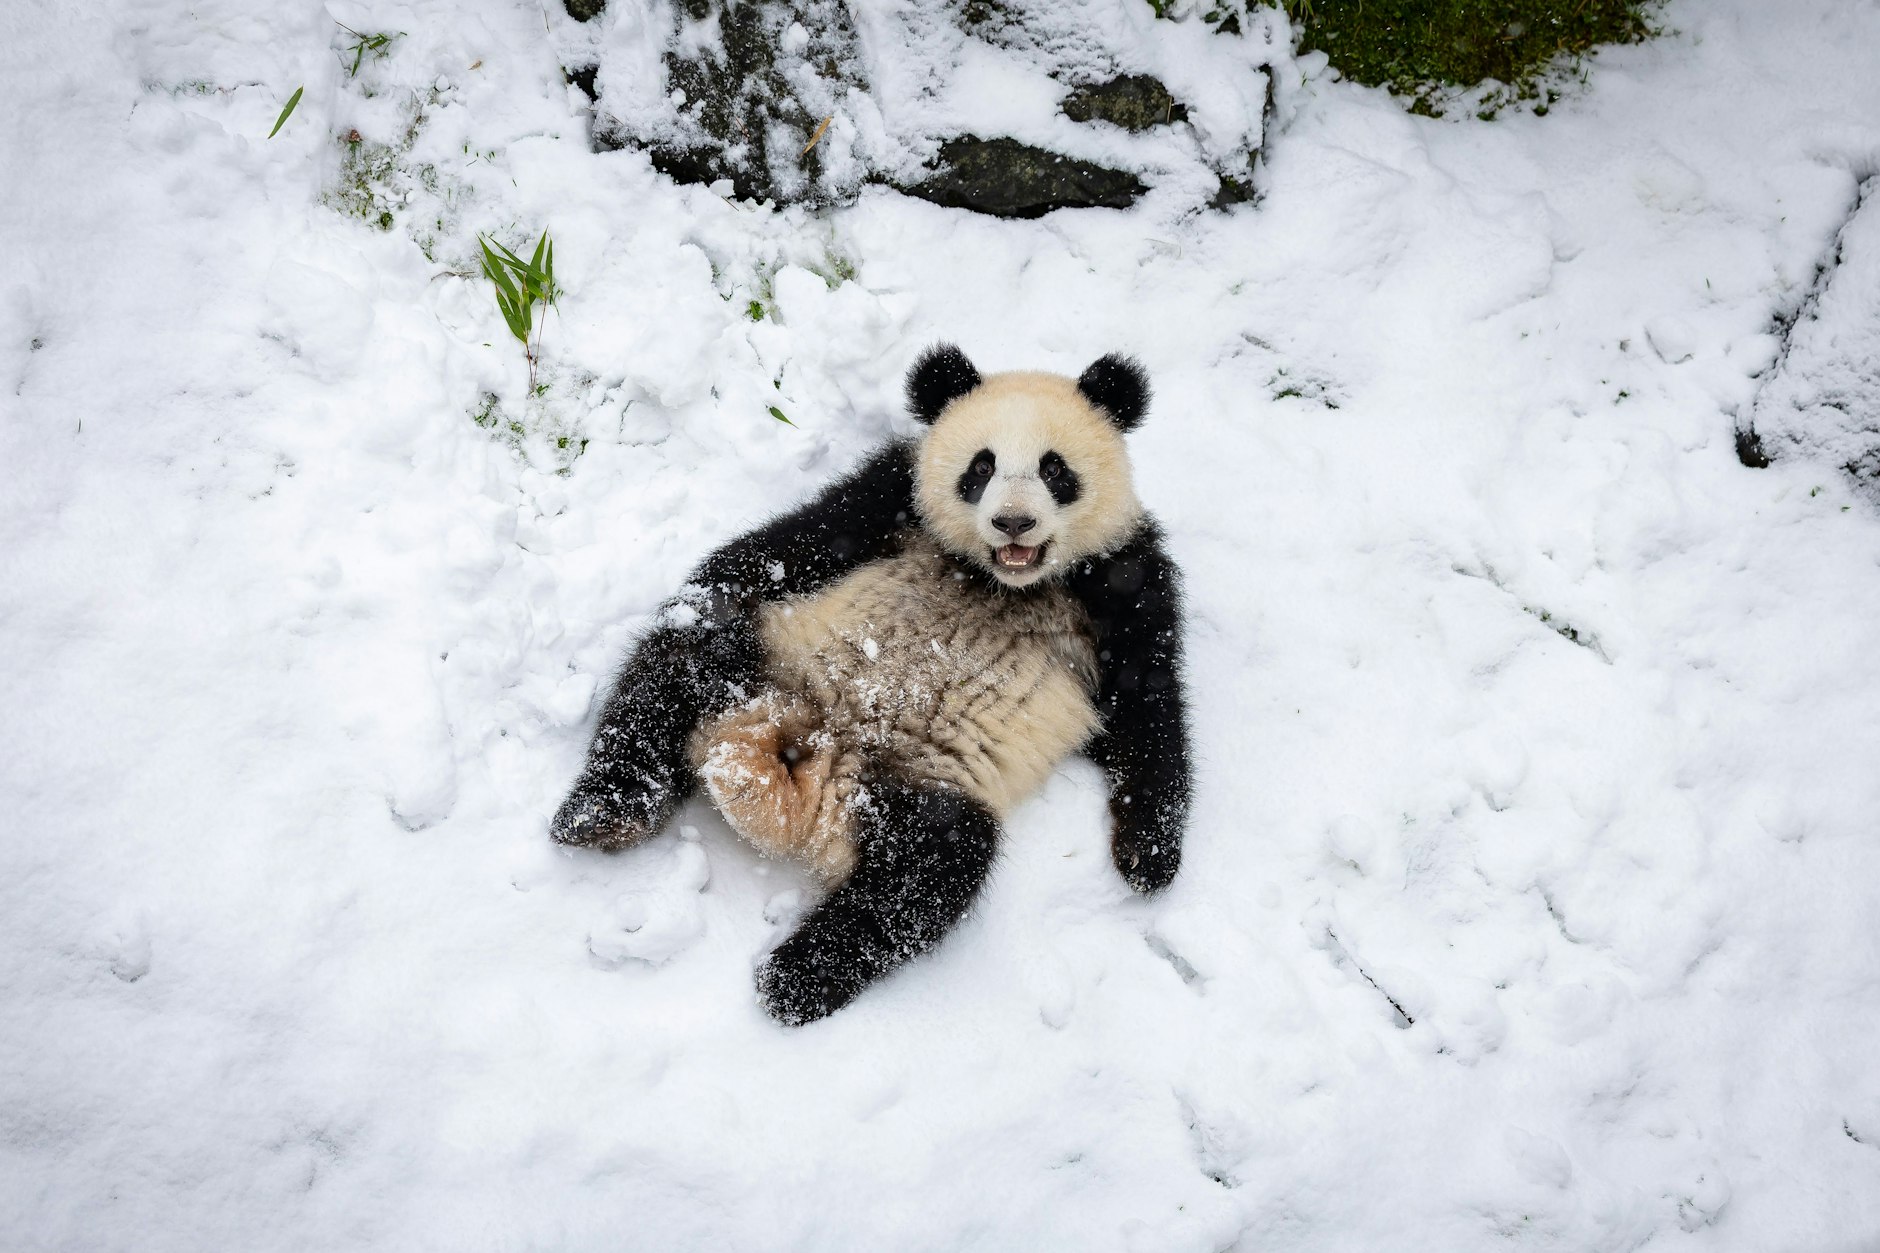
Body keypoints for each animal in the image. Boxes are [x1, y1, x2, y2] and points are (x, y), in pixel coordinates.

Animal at [551, 345, 1192, 1024]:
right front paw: (706, 594)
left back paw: (796, 976)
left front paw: (1148, 858)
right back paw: (606, 813)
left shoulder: (1124, 575)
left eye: (1054, 469)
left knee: (927, 870)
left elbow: (1148, 702)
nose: (1013, 523)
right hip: (760, 671)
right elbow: (778, 551)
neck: (1002, 580)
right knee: (676, 670)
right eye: (981, 467)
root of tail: (812, 764)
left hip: (915, 789)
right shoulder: (889, 498)